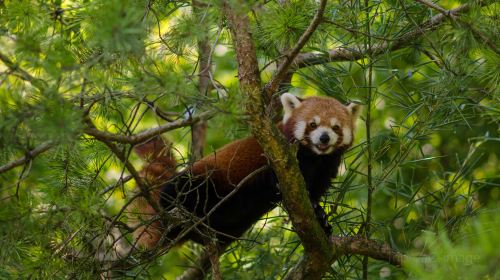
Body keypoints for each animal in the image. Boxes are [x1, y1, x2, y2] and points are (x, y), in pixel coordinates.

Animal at [131, 93, 362, 249]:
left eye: (335, 127)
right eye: (313, 124)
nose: (324, 138)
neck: (314, 157)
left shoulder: (325, 167)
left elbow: (314, 194)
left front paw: (320, 215)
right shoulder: (276, 156)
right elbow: (275, 180)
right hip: (201, 179)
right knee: (180, 189)